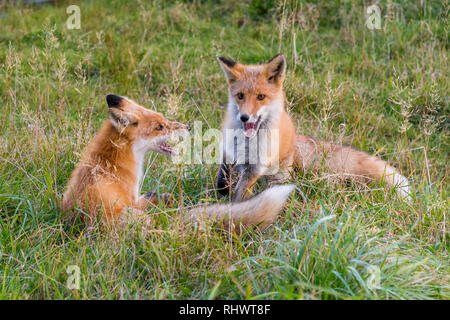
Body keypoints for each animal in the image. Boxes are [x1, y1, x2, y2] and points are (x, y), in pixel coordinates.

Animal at [62, 93, 296, 230]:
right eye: (159, 127)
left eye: (163, 119)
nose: (189, 127)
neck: (110, 160)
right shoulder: (131, 200)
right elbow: (150, 198)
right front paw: (163, 198)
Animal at [215, 53, 412, 201]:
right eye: (240, 95)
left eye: (261, 97)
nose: (244, 117)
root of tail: (295, 138)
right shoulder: (228, 153)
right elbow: (222, 180)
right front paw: (222, 195)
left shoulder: (254, 168)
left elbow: (241, 194)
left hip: (279, 174)